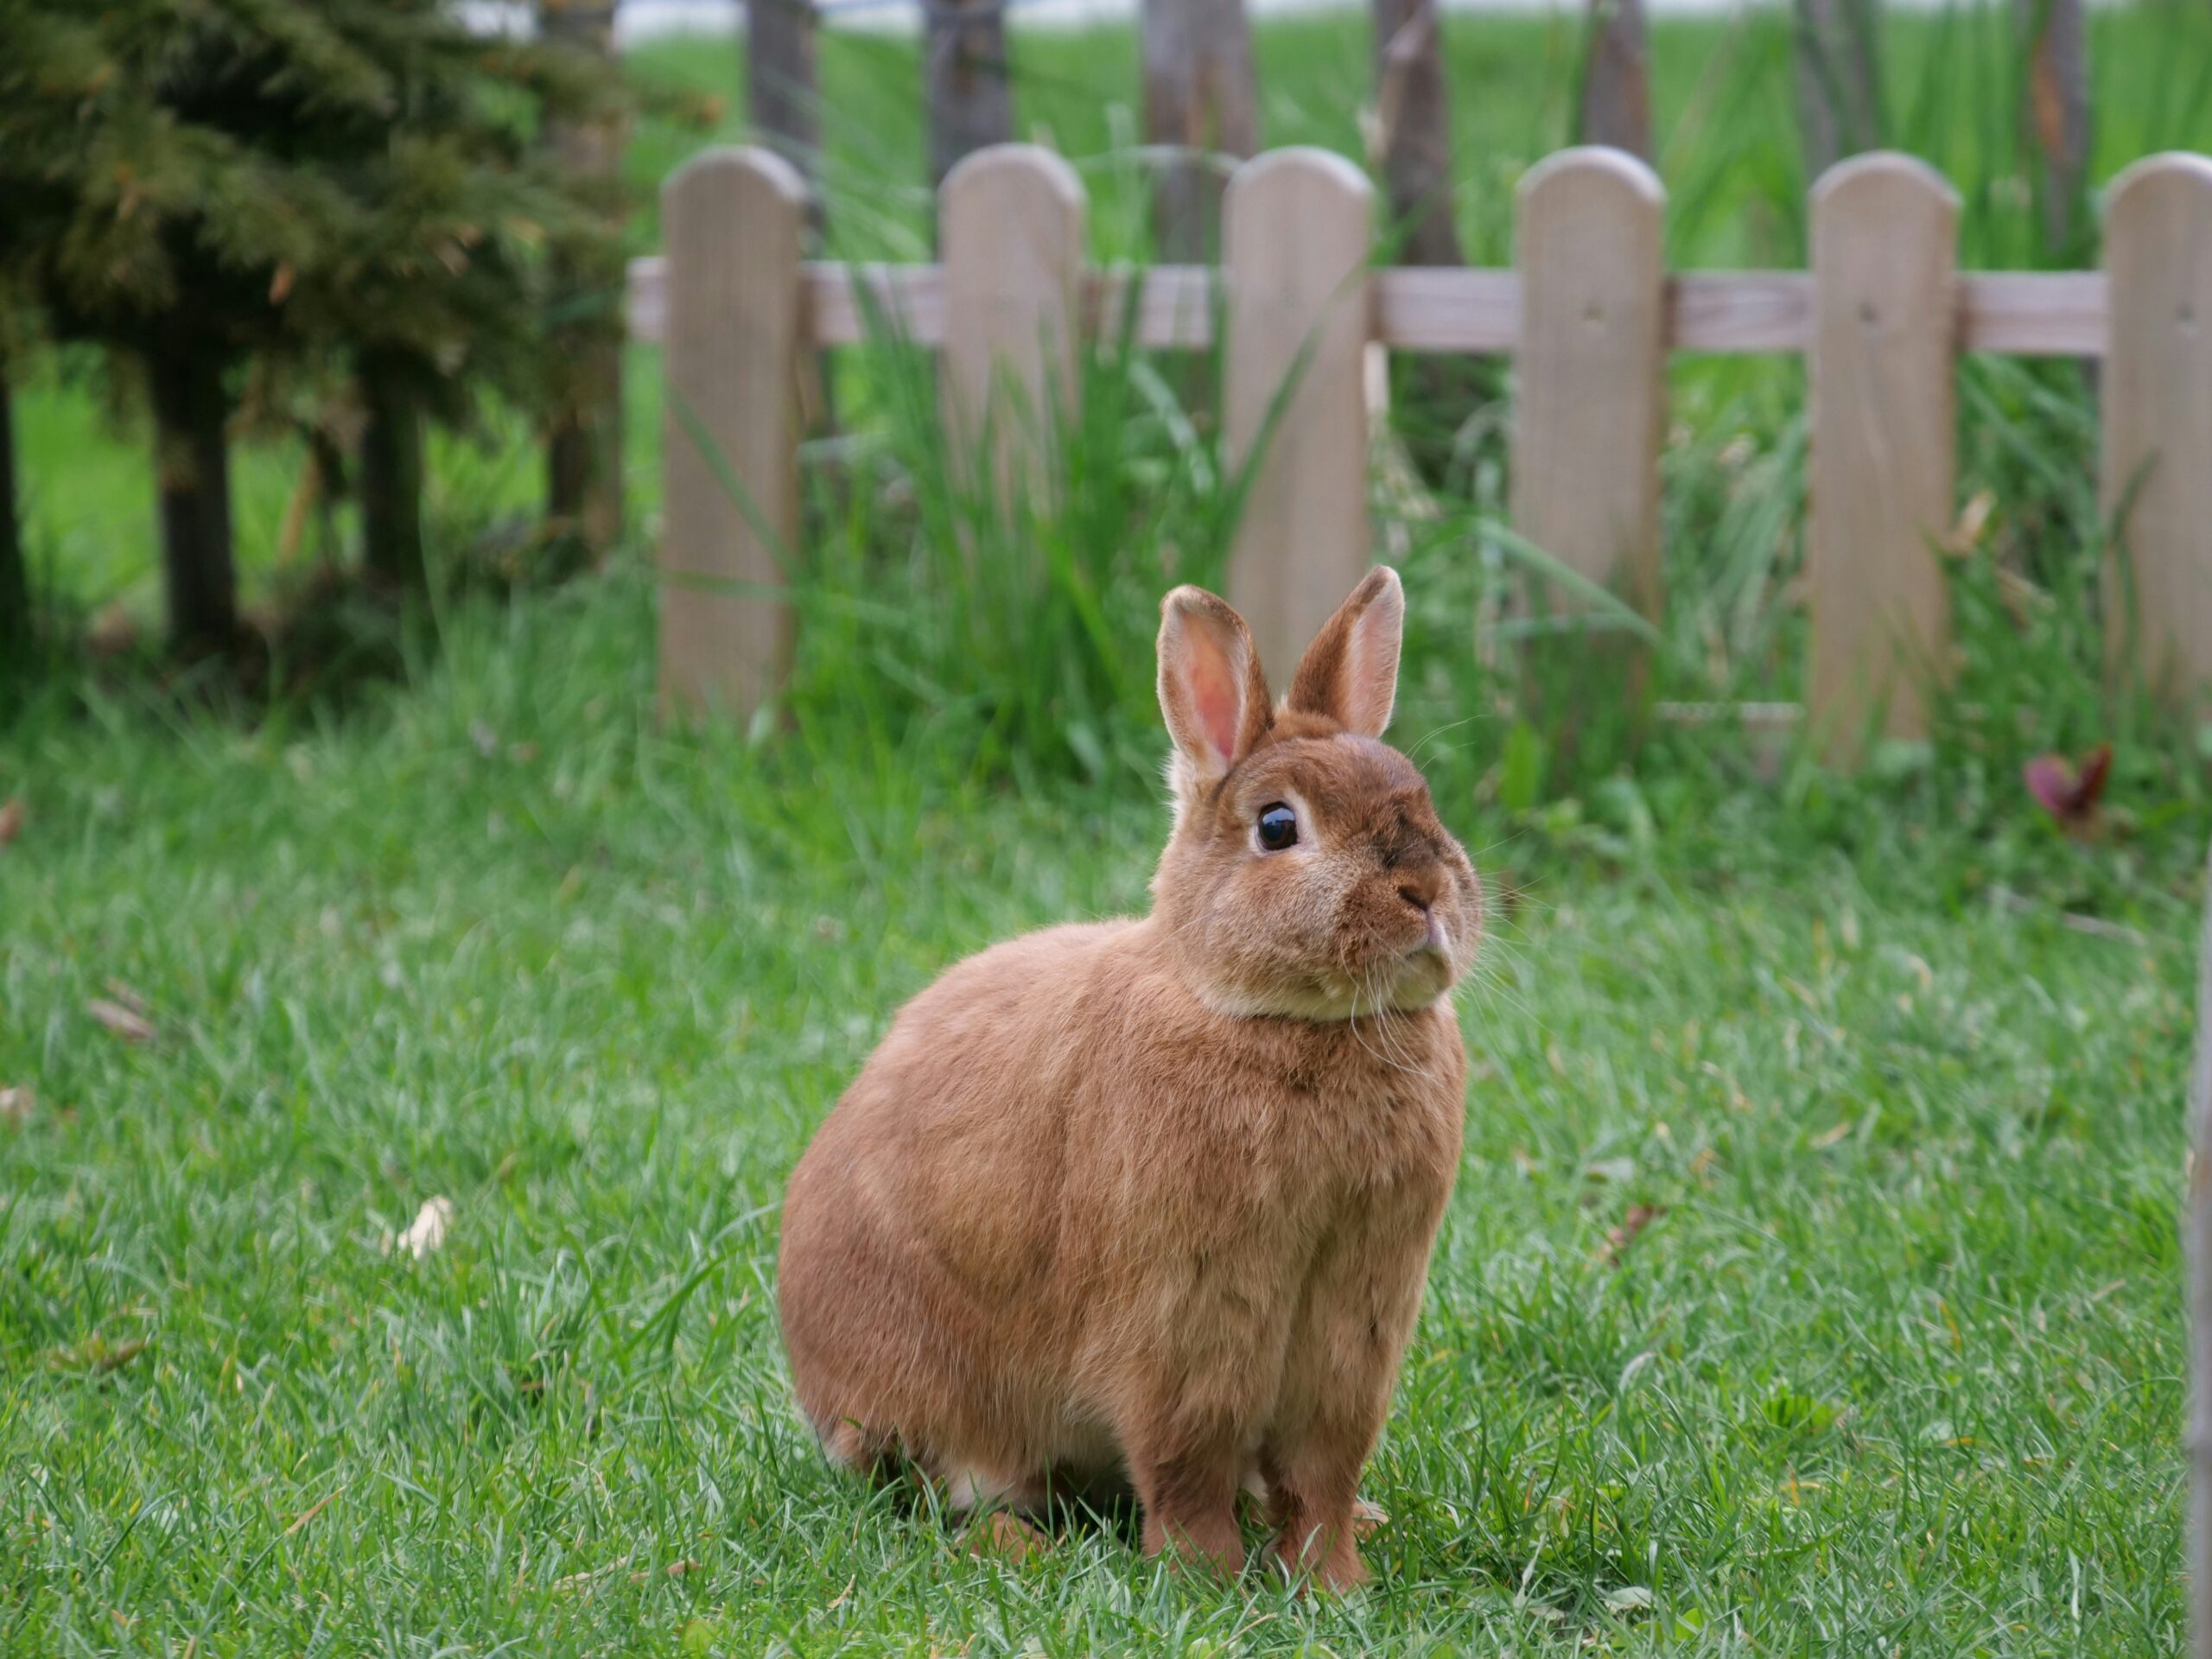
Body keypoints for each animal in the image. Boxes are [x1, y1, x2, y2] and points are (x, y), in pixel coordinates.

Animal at [769, 575, 1478, 1601]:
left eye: (1420, 797)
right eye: (1278, 827)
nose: (1427, 890)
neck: (1280, 1020)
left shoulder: (1356, 1325)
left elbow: (1321, 1472)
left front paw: (1332, 1581)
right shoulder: (1185, 1319)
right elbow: (1188, 1462)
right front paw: (1208, 1579)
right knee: (949, 1491)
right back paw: (1019, 1546)